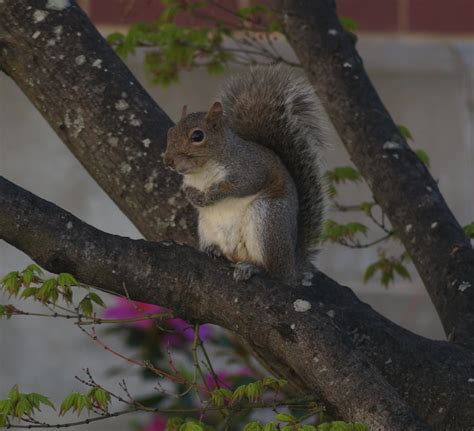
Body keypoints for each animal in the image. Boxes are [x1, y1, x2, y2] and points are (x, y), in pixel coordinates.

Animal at [164, 66, 326, 286]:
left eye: (197, 136)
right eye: (170, 132)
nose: (168, 161)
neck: (203, 171)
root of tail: (291, 268)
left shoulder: (251, 168)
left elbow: (241, 185)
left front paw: (213, 193)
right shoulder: (188, 181)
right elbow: (187, 190)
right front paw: (194, 197)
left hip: (268, 220)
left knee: (272, 271)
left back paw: (252, 267)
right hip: (206, 227)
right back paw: (213, 249)